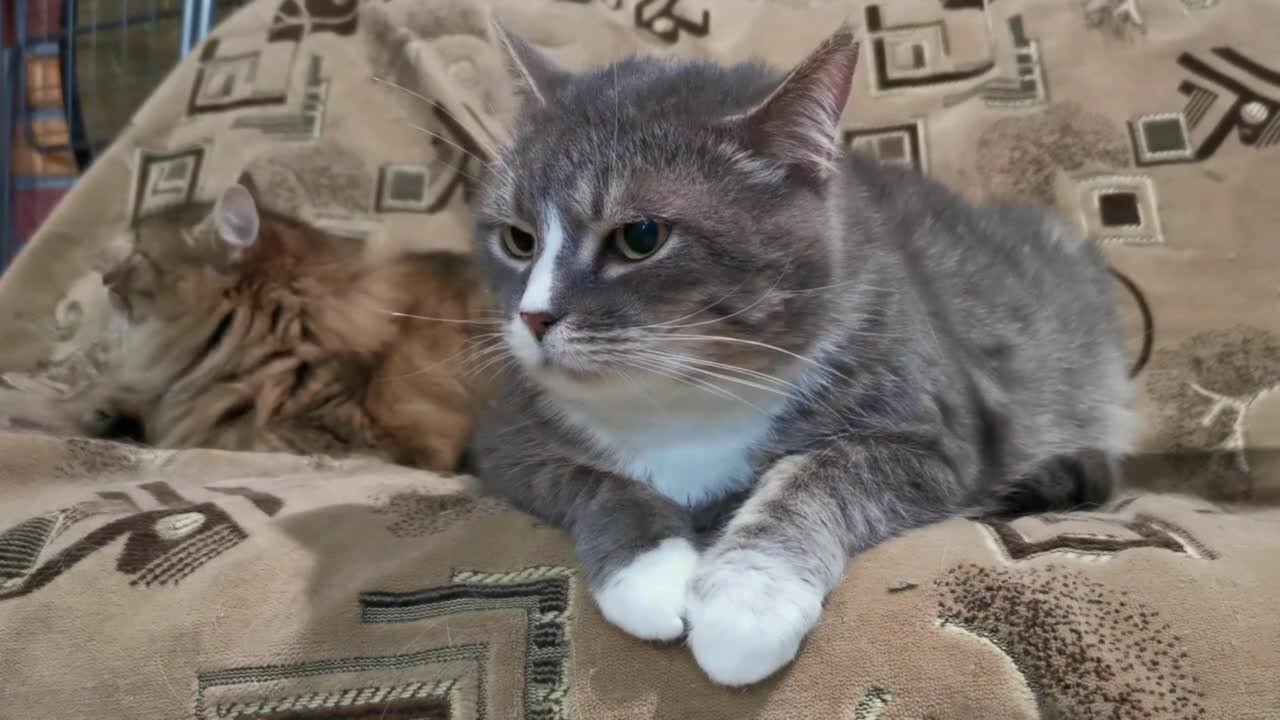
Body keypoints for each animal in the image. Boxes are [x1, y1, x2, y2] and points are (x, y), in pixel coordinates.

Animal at [468, 20, 1131, 681]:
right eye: (517, 238)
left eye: (640, 236)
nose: (533, 316)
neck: (684, 397)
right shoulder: (505, 442)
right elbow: (596, 481)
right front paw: (649, 573)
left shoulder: (936, 439)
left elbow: (816, 478)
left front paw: (746, 602)